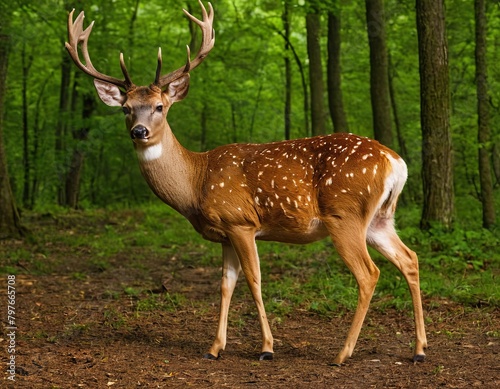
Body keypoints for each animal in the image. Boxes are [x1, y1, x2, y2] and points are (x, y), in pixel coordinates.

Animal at [64, 0, 428, 364]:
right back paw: (419, 350)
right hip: (379, 219)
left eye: (159, 107)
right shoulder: (224, 234)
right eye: (125, 108)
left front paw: (266, 348)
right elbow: (226, 284)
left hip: (345, 214)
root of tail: (395, 162)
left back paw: (343, 352)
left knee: (369, 273)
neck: (196, 182)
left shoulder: (240, 221)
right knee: (410, 258)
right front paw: (214, 348)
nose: (139, 131)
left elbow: (254, 280)